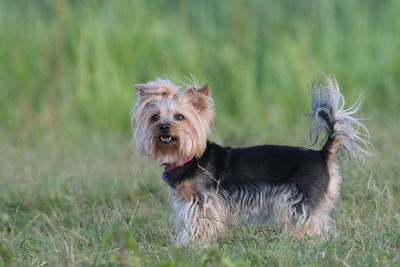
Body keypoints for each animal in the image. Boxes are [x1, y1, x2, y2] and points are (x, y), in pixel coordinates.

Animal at [133, 76, 370, 246]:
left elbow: (198, 224)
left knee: (310, 223)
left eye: (180, 117)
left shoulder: (201, 202)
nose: (164, 127)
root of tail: (322, 154)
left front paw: (190, 244)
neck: (189, 157)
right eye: (155, 117)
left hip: (300, 200)